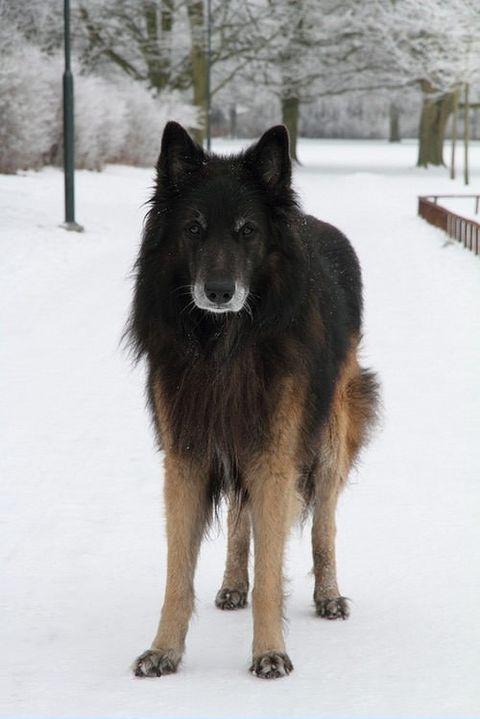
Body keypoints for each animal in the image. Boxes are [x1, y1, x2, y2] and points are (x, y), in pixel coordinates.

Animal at [128, 122, 378, 680]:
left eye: (247, 231)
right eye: (194, 229)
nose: (219, 292)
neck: (224, 344)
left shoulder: (274, 458)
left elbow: (272, 568)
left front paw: (269, 652)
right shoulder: (188, 458)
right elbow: (178, 574)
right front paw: (164, 649)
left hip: (328, 438)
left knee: (323, 523)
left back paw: (328, 595)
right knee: (241, 523)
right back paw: (231, 583)